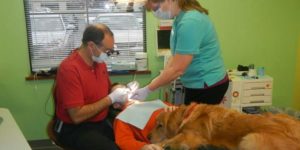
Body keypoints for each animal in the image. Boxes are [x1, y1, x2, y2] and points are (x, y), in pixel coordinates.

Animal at [149, 103, 300, 149]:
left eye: (160, 125)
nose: (148, 136)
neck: (187, 115)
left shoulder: (192, 137)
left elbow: (173, 139)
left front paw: (159, 144)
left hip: (250, 138)